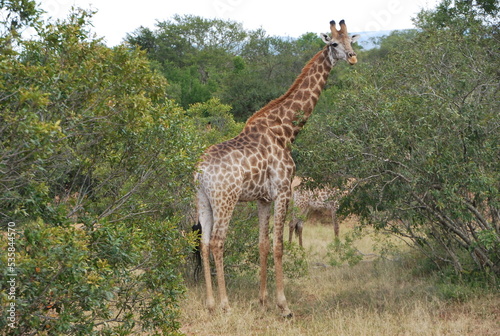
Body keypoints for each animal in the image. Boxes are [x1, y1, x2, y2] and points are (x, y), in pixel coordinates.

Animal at [196, 19, 360, 316]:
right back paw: (225, 304)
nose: (352, 57)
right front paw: (283, 305)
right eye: (333, 43)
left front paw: (262, 301)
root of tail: (200, 173)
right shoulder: (283, 190)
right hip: (225, 199)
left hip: (202, 199)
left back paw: (211, 303)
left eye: (351, 41)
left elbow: (262, 245)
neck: (285, 132)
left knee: (202, 243)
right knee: (217, 241)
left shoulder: (262, 198)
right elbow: (279, 245)